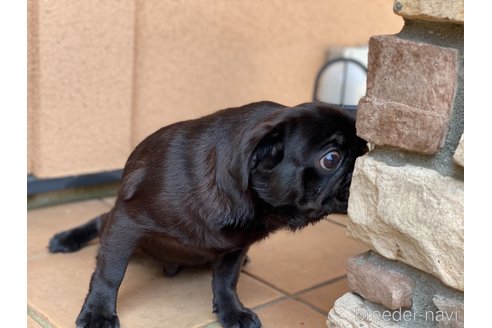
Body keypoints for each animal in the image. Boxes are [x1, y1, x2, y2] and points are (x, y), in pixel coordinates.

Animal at [49, 101, 366, 326]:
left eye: (365, 146)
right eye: (331, 159)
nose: (361, 166)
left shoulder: (236, 245)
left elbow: (226, 279)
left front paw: (231, 311)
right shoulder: (128, 221)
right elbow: (110, 272)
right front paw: (99, 313)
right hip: (116, 221)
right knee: (100, 222)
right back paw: (67, 239)